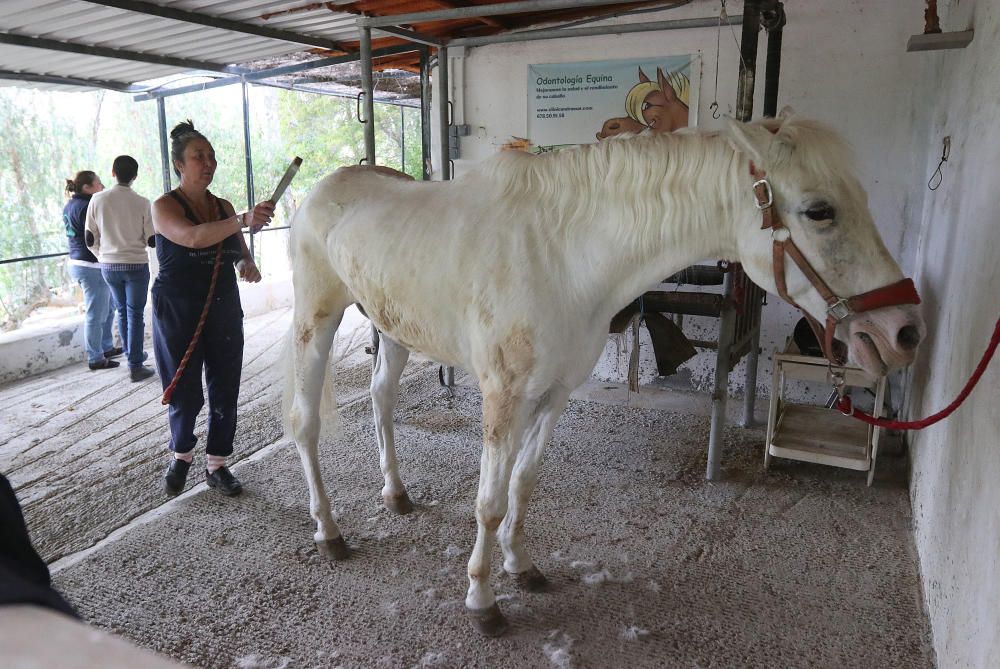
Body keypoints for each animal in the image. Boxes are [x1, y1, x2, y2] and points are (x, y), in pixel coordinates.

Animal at [282, 112, 920, 636]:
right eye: (820, 210)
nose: (904, 332)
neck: (558, 254)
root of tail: (322, 191)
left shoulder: (555, 393)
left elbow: (523, 484)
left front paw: (523, 567)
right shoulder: (502, 398)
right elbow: (488, 501)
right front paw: (483, 601)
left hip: (393, 331)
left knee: (381, 400)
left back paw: (395, 493)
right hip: (317, 322)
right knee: (305, 423)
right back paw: (329, 532)